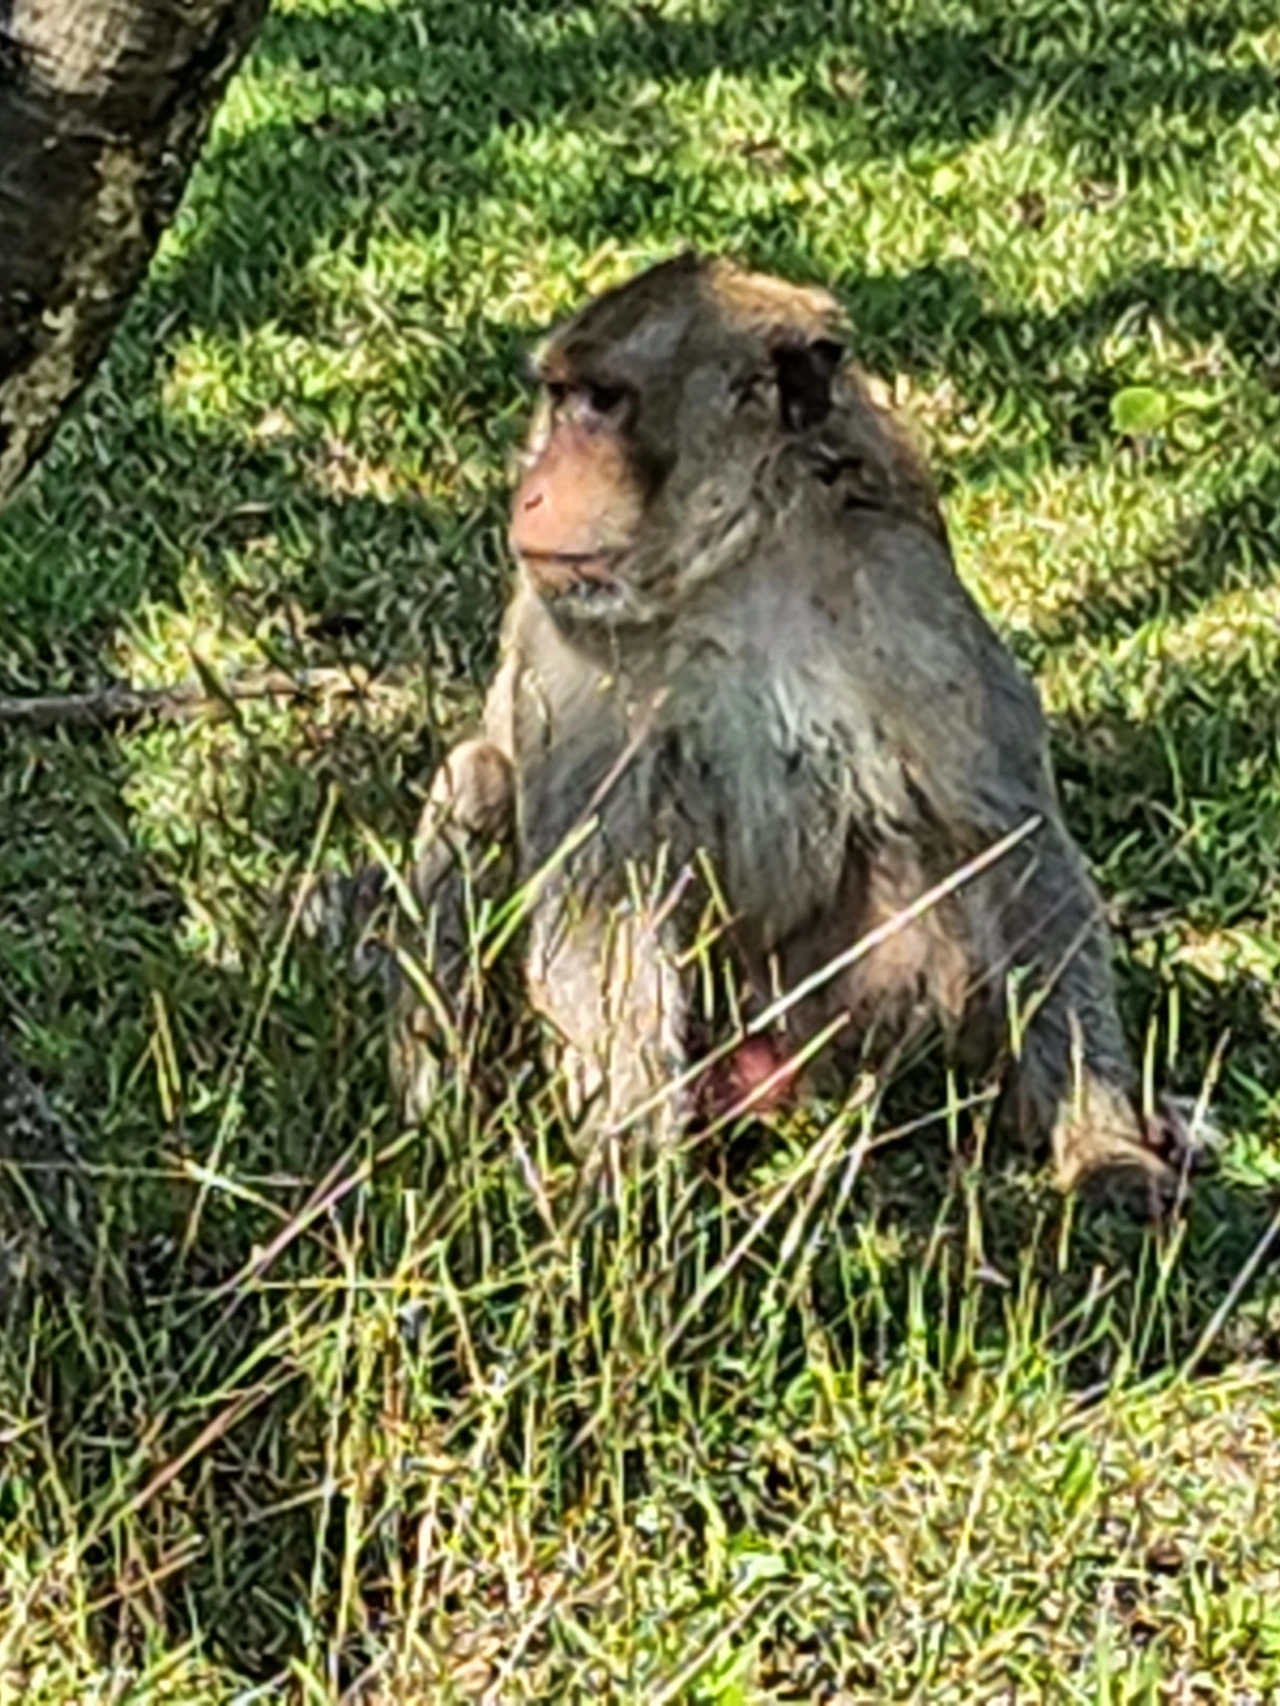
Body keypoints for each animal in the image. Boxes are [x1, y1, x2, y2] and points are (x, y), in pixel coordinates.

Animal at [391, 252, 1197, 1204]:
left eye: (603, 402)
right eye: (563, 397)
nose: (533, 485)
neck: (741, 561)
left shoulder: (906, 588)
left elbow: (1005, 833)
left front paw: (1104, 1146)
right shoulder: (570, 641)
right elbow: (599, 891)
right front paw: (632, 1170)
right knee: (477, 776)